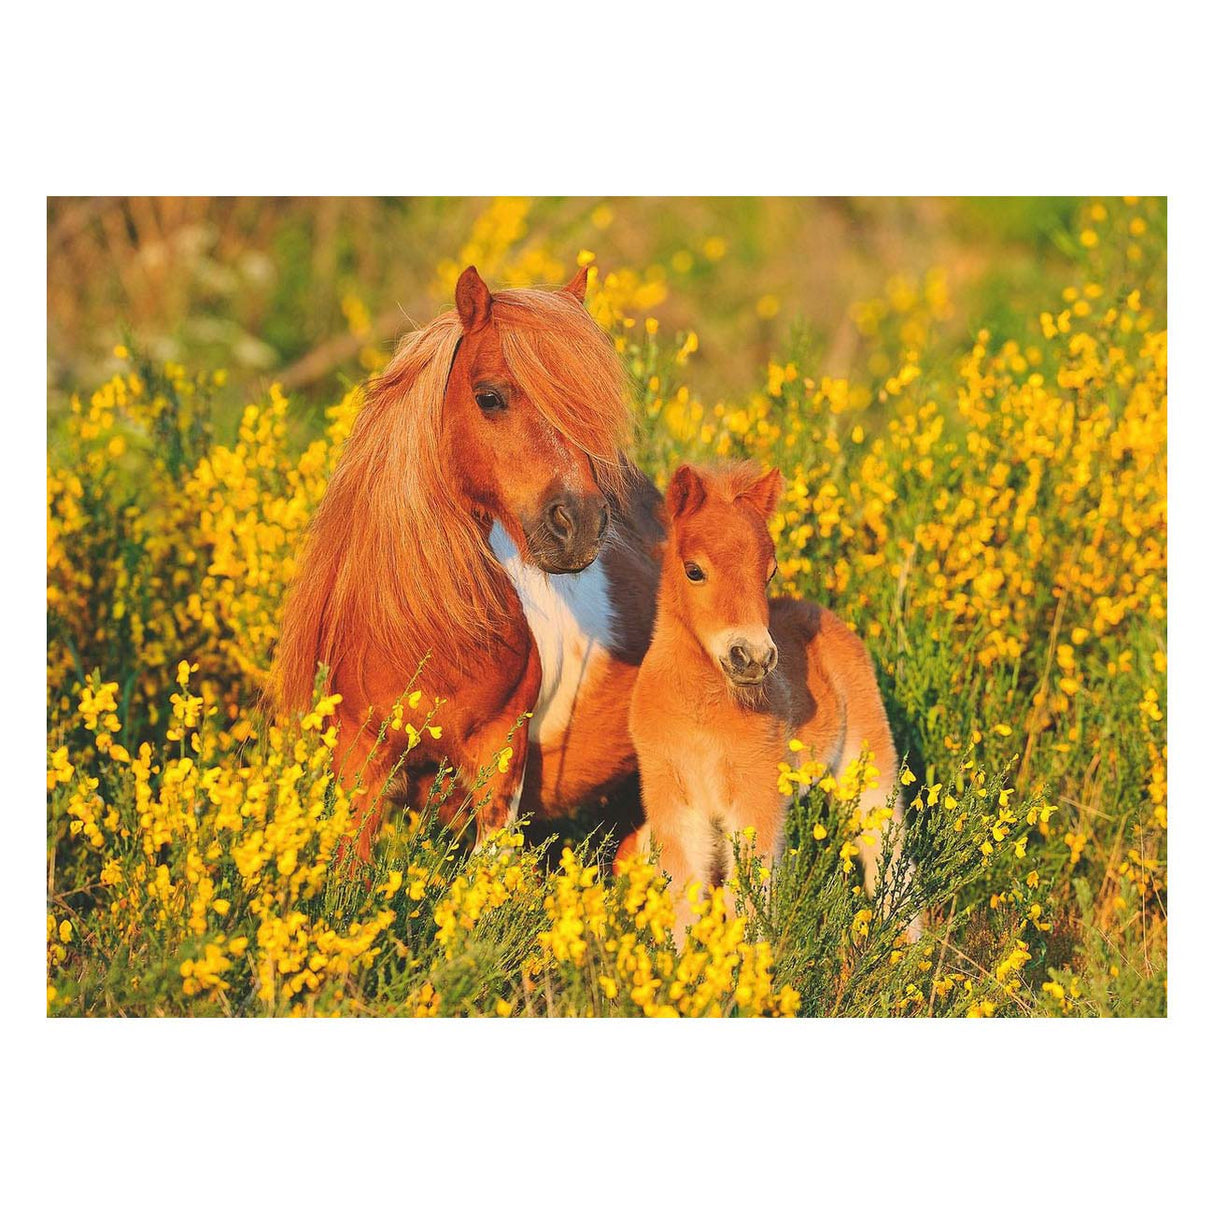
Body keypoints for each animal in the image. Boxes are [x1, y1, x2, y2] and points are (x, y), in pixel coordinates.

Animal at [619, 463, 914, 936]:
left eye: (769, 573)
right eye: (694, 570)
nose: (753, 657)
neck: (701, 714)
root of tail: (821, 611)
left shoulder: (754, 796)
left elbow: (749, 899)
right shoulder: (674, 800)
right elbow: (684, 895)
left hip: (866, 757)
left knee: (888, 850)